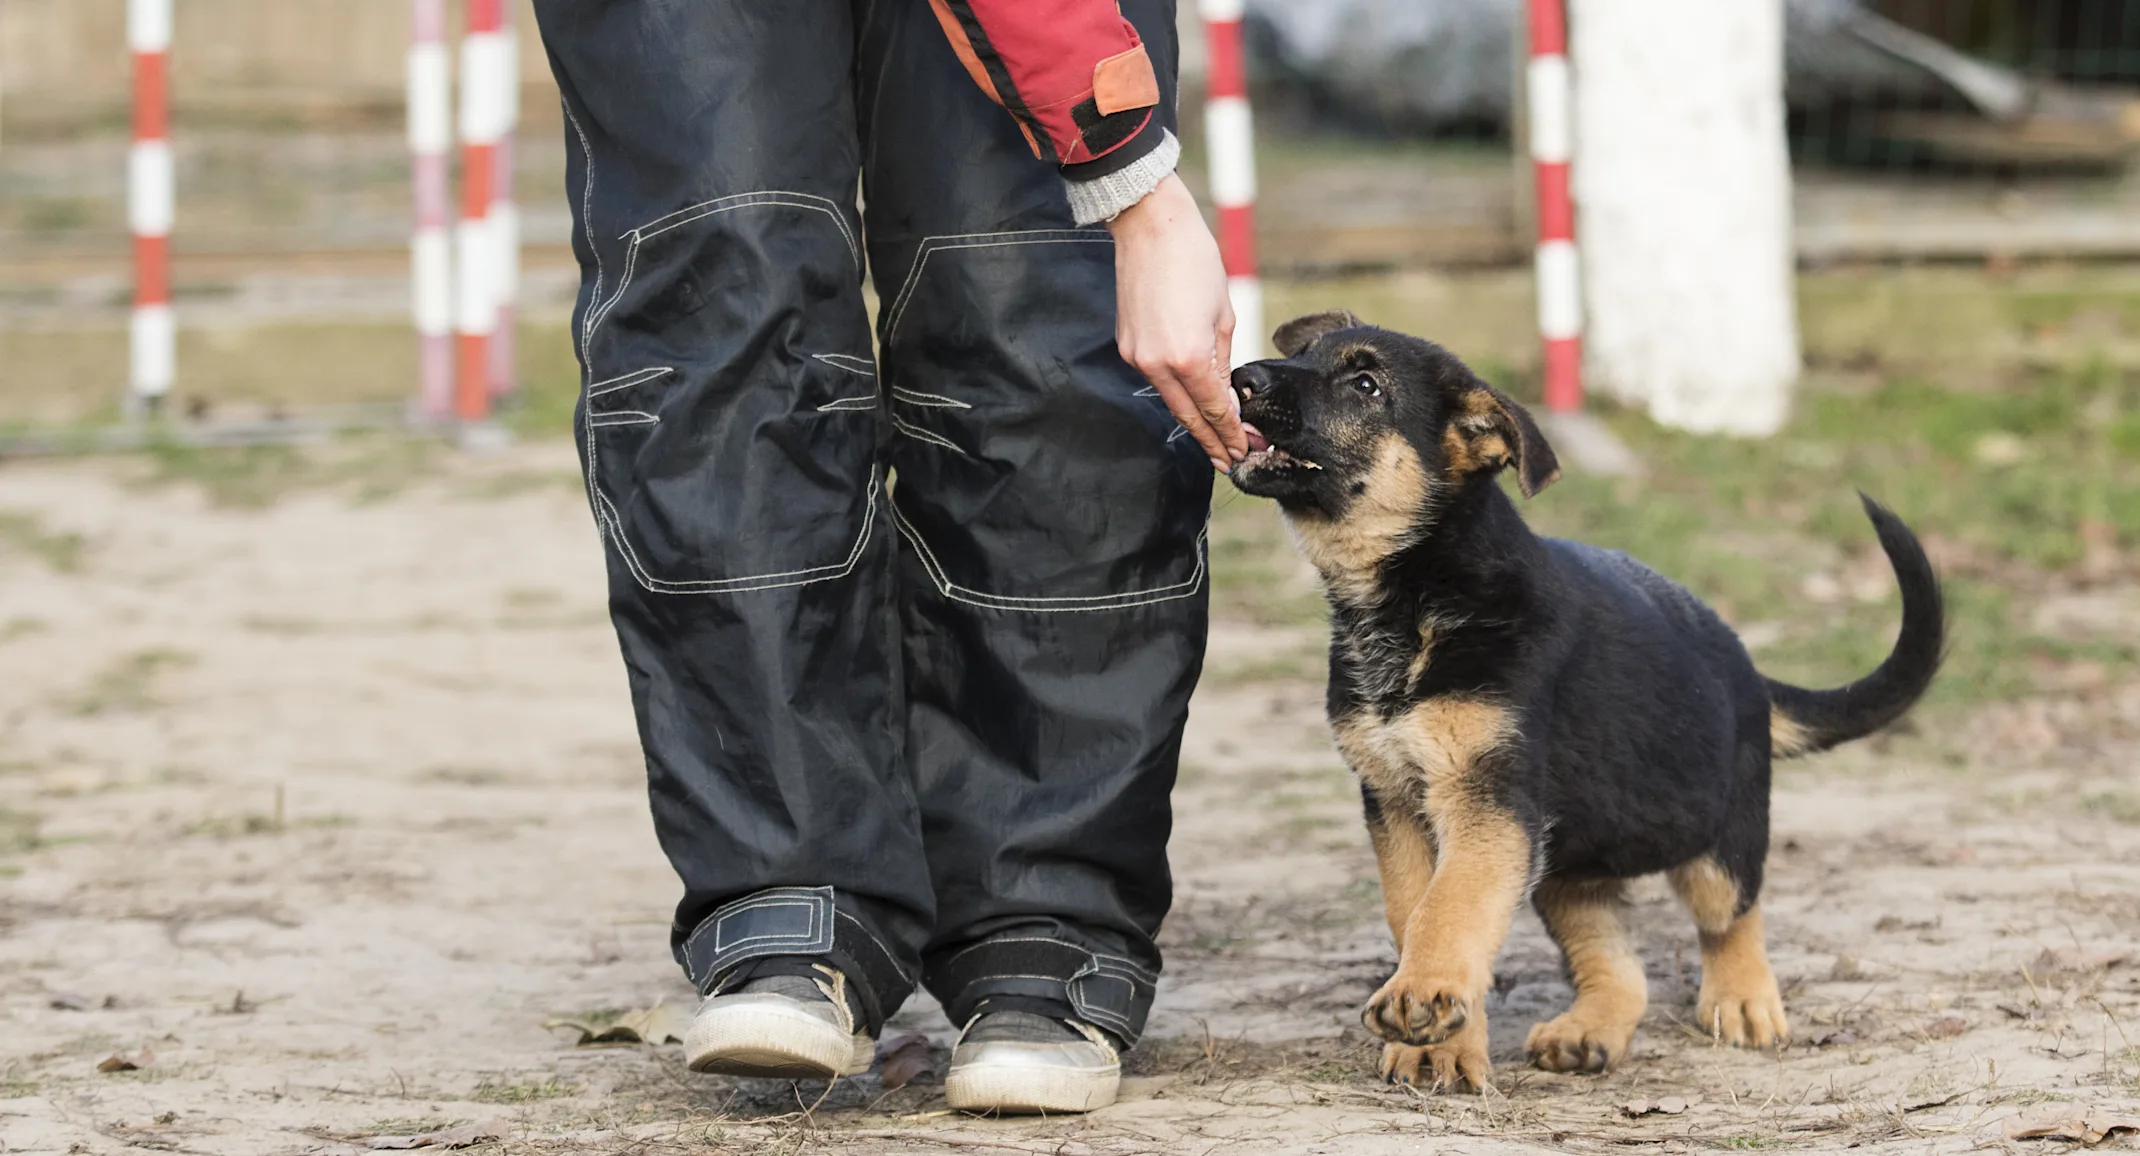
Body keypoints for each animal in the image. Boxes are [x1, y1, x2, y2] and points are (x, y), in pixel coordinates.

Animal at [1224, 314, 1943, 1091]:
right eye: (1302, 354)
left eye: (1365, 385)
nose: (1241, 379)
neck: (1417, 597)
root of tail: (1745, 664)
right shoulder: (1395, 801)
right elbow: (1415, 909)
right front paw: (1439, 1043)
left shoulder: (1487, 799)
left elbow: (1451, 904)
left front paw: (1428, 1000)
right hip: (1571, 866)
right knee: (1620, 964)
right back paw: (1589, 1031)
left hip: (1715, 833)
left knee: (1733, 911)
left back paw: (1744, 999)